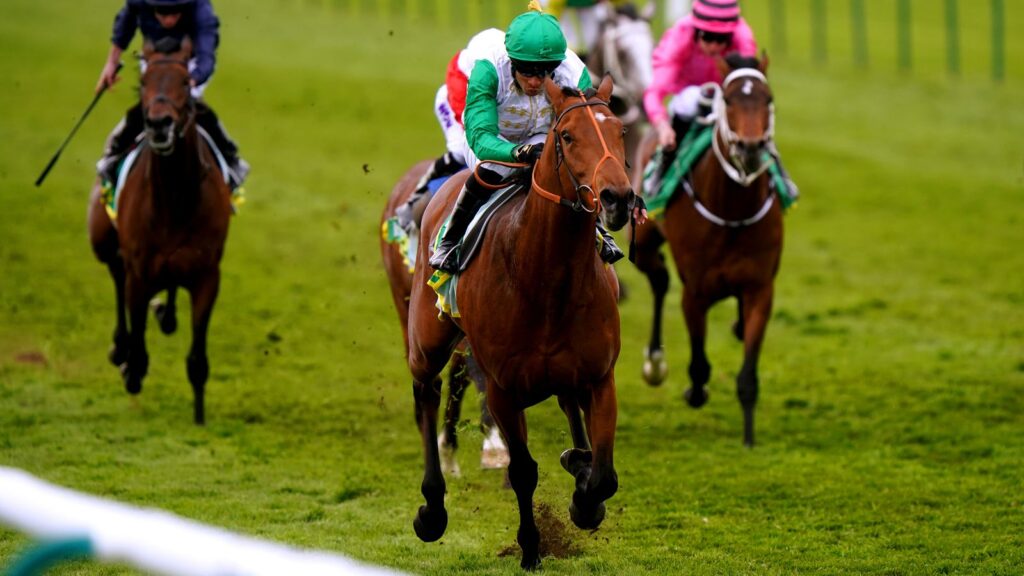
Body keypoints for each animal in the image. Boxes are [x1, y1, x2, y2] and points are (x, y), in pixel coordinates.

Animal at [86, 36, 232, 422]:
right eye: (143, 82)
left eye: (185, 82)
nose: (159, 124)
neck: (175, 200)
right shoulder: (140, 270)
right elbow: (137, 330)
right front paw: (131, 367)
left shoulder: (207, 275)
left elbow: (197, 359)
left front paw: (199, 417)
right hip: (103, 239)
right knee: (117, 277)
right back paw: (120, 347)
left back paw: (165, 315)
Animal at [405, 73, 630, 565]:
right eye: (568, 137)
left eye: (621, 131)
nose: (618, 198)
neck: (545, 277)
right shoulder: (503, 389)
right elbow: (523, 470)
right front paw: (530, 547)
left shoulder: (600, 376)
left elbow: (604, 475)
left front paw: (584, 500)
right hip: (426, 341)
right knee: (427, 392)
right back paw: (432, 508)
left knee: (568, 404)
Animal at [626, 54, 778, 448]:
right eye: (730, 101)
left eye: (768, 99)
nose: (751, 148)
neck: (732, 210)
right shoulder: (694, 291)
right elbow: (698, 363)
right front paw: (695, 391)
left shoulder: (760, 289)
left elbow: (748, 374)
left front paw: (749, 438)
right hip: (644, 241)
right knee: (660, 279)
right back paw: (655, 361)